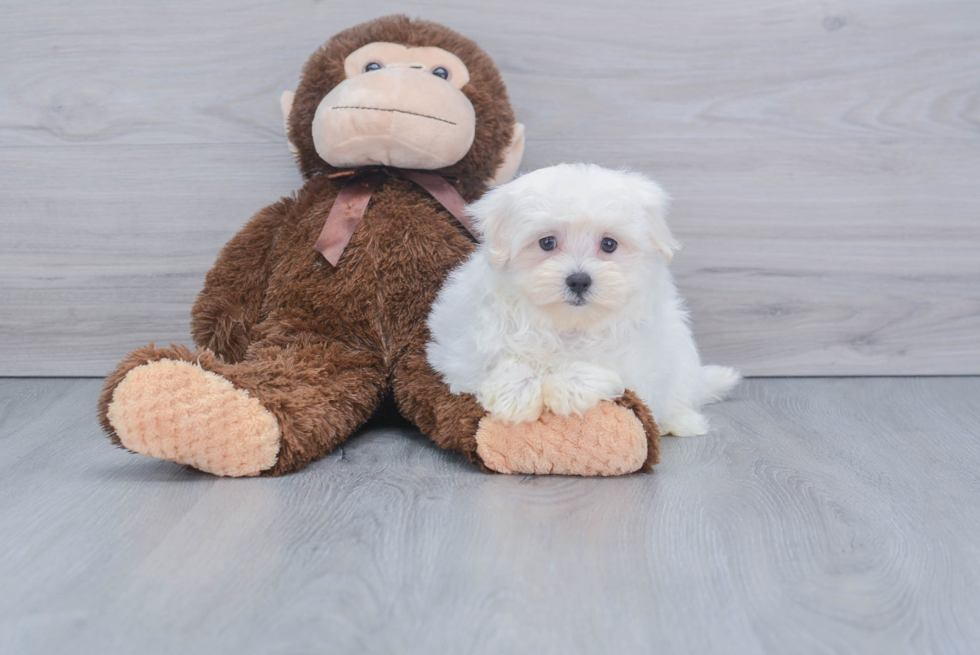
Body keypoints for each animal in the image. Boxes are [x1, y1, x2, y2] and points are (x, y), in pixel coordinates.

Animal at [424, 164, 740, 436]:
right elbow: (500, 357)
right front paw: (516, 392)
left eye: (609, 244)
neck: (567, 323)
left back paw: (680, 421)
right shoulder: (465, 346)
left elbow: (603, 363)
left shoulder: (642, 356)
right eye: (547, 242)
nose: (578, 280)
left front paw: (567, 388)